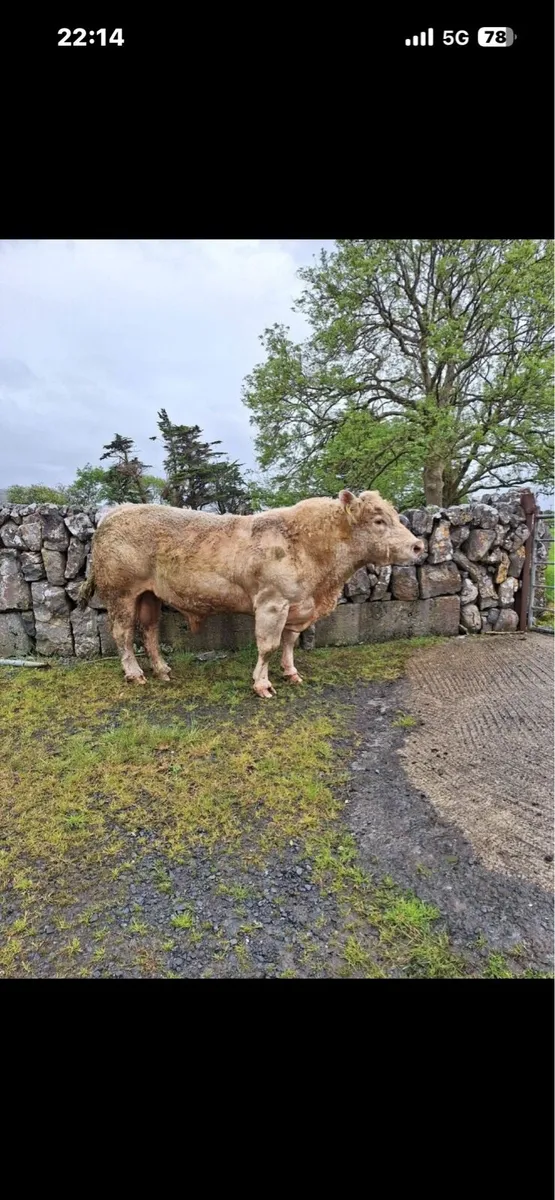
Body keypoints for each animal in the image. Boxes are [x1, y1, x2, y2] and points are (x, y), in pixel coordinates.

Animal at [79, 489, 424, 698]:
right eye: (378, 520)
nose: (419, 546)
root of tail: (113, 513)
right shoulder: (273, 602)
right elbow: (268, 646)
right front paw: (262, 685)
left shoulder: (297, 605)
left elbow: (289, 643)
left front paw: (291, 673)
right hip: (121, 593)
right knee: (123, 634)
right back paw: (135, 674)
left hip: (149, 594)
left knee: (149, 630)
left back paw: (163, 671)